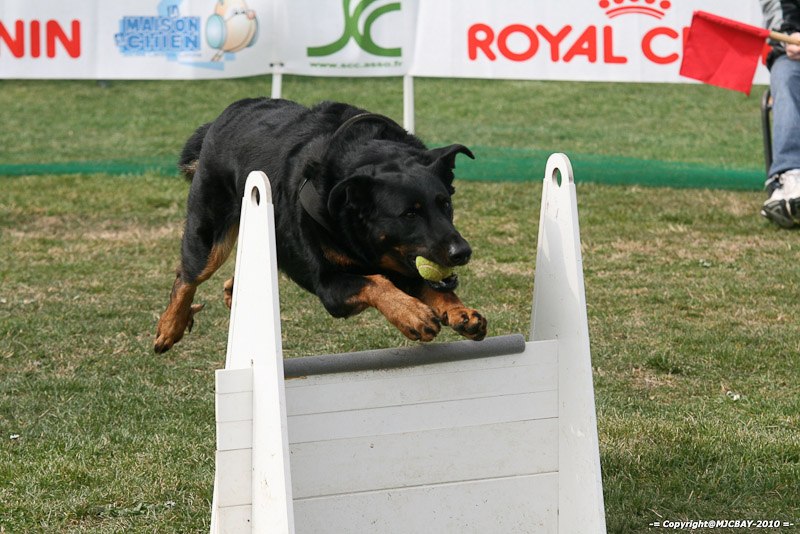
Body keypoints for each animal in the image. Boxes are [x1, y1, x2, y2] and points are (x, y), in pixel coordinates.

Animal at [153, 98, 484, 354]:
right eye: (409, 215)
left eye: (445, 204)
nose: (462, 252)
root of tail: (222, 117)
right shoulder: (329, 285)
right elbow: (375, 282)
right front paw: (411, 313)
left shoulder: (401, 264)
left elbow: (423, 284)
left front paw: (459, 311)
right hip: (209, 234)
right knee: (187, 276)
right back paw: (170, 327)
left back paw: (231, 292)